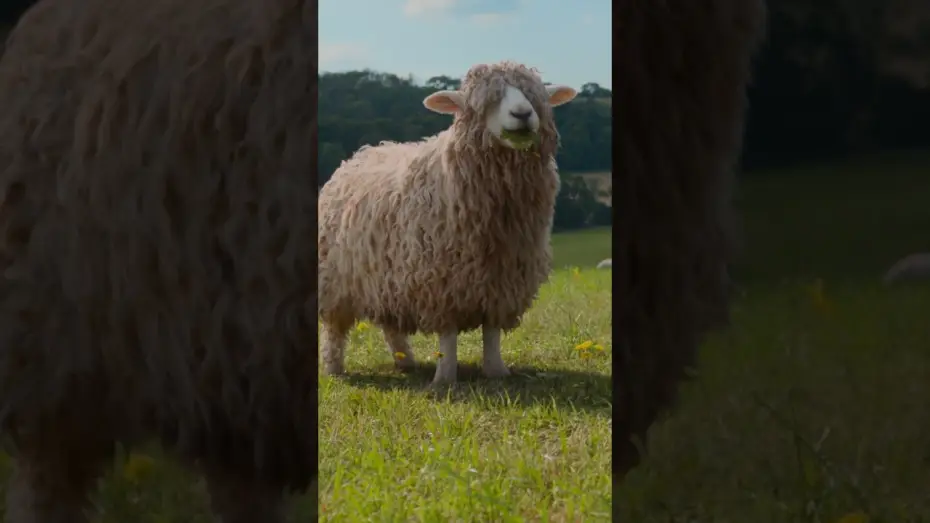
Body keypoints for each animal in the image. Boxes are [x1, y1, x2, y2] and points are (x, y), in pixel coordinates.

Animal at [318, 61, 577, 387]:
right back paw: (334, 367)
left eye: (534, 96)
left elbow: (492, 333)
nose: (522, 114)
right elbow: (448, 335)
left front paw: (496, 372)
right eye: (485, 102)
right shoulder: (441, 278)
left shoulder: (501, 279)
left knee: (391, 326)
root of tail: (361, 154)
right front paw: (445, 378)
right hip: (336, 280)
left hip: (387, 275)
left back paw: (406, 362)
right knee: (334, 328)